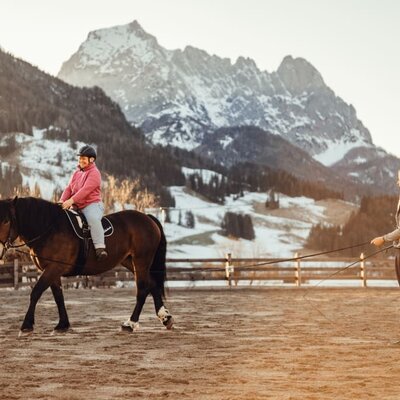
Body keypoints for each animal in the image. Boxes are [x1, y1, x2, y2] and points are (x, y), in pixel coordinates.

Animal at [0, 195, 173, 332]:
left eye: (6, 220)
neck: (49, 229)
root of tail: (147, 218)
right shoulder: (53, 270)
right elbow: (58, 296)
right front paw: (63, 324)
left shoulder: (54, 268)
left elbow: (36, 292)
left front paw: (27, 324)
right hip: (130, 262)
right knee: (152, 284)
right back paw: (165, 318)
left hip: (141, 260)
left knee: (143, 289)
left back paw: (130, 323)